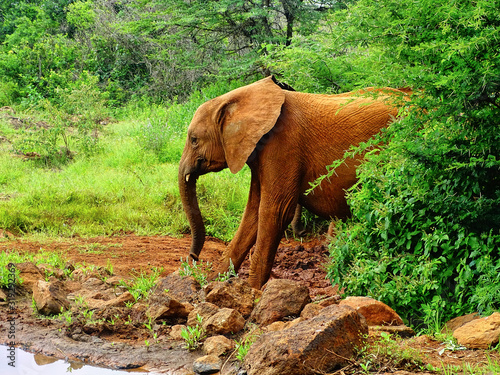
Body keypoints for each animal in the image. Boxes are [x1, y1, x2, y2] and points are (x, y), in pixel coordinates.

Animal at [178, 75, 408, 290]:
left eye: (194, 140)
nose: (193, 258)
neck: (240, 98)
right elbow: (252, 214)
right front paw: (214, 284)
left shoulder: (283, 143)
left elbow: (274, 212)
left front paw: (253, 292)